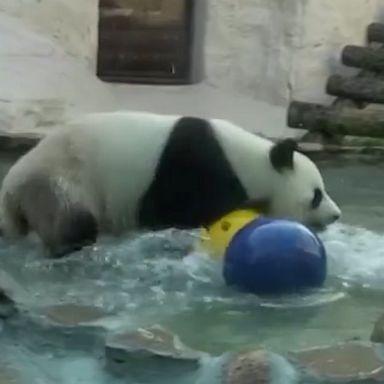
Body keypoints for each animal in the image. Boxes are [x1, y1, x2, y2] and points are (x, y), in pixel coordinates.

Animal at [0, 111, 342, 258]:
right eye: (316, 195)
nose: (336, 215)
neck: (251, 161)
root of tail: (10, 189)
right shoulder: (193, 166)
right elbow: (173, 209)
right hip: (57, 178)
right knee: (72, 218)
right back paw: (69, 247)